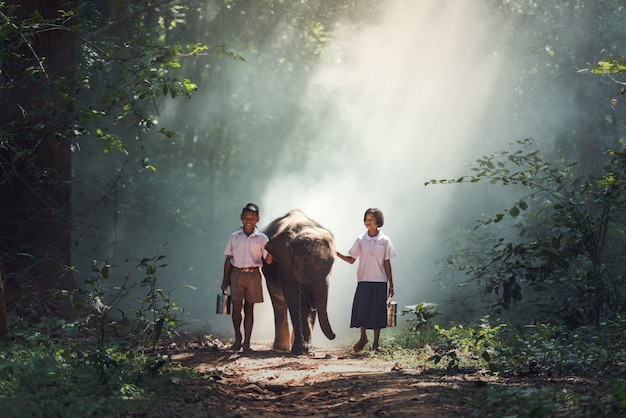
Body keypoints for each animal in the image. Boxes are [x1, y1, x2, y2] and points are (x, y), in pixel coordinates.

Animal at [260, 211, 334, 354]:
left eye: (333, 262)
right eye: (306, 261)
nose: (334, 336)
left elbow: (309, 302)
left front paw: (308, 348)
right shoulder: (286, 262)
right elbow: (294, 297)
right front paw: (300, 350)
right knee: (279, 304)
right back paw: (281, 348)